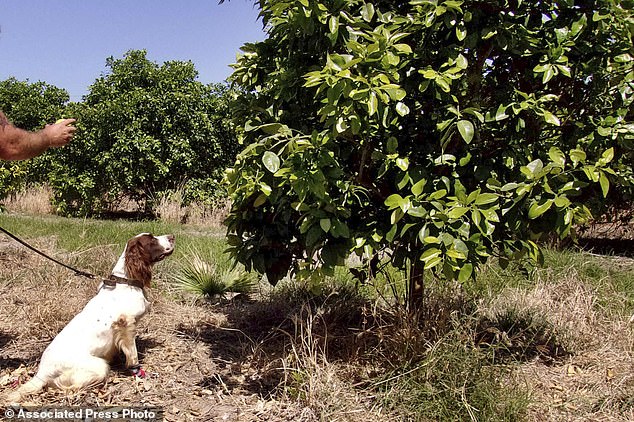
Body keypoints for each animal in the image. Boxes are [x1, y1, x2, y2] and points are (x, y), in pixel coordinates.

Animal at [8, 234, 175, 402]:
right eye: (152, 239)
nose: (172, 237)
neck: (127, 281)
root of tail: (42, 373)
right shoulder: (126, 325)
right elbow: (132, 354)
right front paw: (136, 370)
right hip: (99, 367)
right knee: (70, 389)